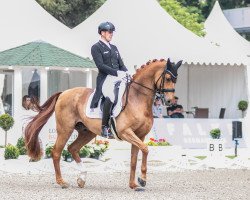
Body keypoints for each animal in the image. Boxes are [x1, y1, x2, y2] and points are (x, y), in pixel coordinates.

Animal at [24, 58, 182, 191]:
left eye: (176, 79)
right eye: (168, 78)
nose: (170, 101)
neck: (137, 98)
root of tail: (63, 93)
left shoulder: (140, 135)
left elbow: (134, 159)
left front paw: (133, 184)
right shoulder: (126, 132)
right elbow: (146, 149)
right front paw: (142, 179)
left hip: (87, 132)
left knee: (73, 148)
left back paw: (82, 178)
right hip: (65, 129)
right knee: (56, 152)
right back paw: (62, 182)